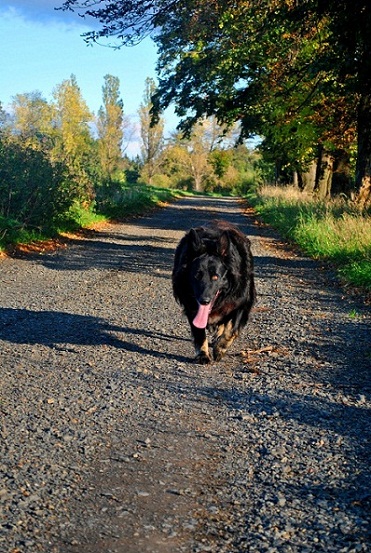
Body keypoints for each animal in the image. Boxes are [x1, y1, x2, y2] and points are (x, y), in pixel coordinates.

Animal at [174, 220, 256, 362]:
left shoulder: (242, 303)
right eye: (197, 276)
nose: (204, 301)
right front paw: (203, 354)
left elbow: (231, 329)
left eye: (215, 277)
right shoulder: (191, 306)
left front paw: (220, 348)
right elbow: (199, 332)